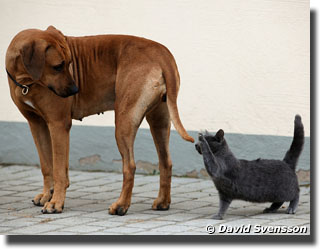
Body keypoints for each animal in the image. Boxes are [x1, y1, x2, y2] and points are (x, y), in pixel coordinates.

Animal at [5, 25, 194, 215]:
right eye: (58, 66)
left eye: (69, 64)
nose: (75, 90)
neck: (26, 80)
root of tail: (163, 54)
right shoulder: (37, 125)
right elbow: (46, 166)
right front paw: (47, 195)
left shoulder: (58, 125)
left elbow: (58, 170)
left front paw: (55, 202)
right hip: (159, 120)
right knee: (166, 162)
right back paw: (163, 202)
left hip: (124, 121)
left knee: (130, 166)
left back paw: (121, 205)